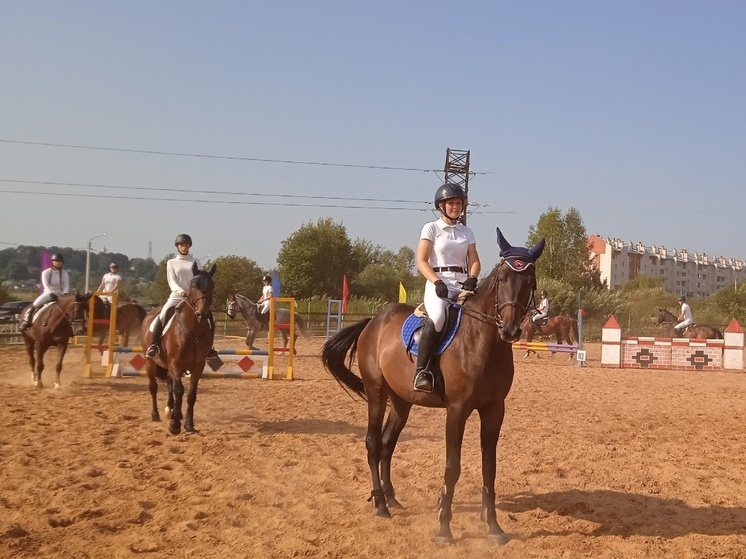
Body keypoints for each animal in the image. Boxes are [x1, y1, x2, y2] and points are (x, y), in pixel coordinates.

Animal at [140, 264, 215, 436]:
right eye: (193, 286)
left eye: (212, 286)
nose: (201, 314)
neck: (193, 331)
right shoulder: (175, 362)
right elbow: (179, 390)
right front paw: (174, 425)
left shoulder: (198, 365)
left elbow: (191, 394)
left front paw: (188, 424)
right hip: (150, 363)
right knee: (154, 387)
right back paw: (156, 415)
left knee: (169, 383)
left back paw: (171, 409)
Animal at [318, 229, 540, 548]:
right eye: (502, 278)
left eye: (530, 280)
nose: (509, 330)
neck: (482, 341)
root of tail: (374, 321)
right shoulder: (457, 410)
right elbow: (452, 467)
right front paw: (444, 528)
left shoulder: (494, 410)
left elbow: (490, 467)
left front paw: (494, 527)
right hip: (376, 393)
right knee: (373, 443)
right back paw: (381, 505)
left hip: (401, 401)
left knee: (387, 443)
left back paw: (391, 498)